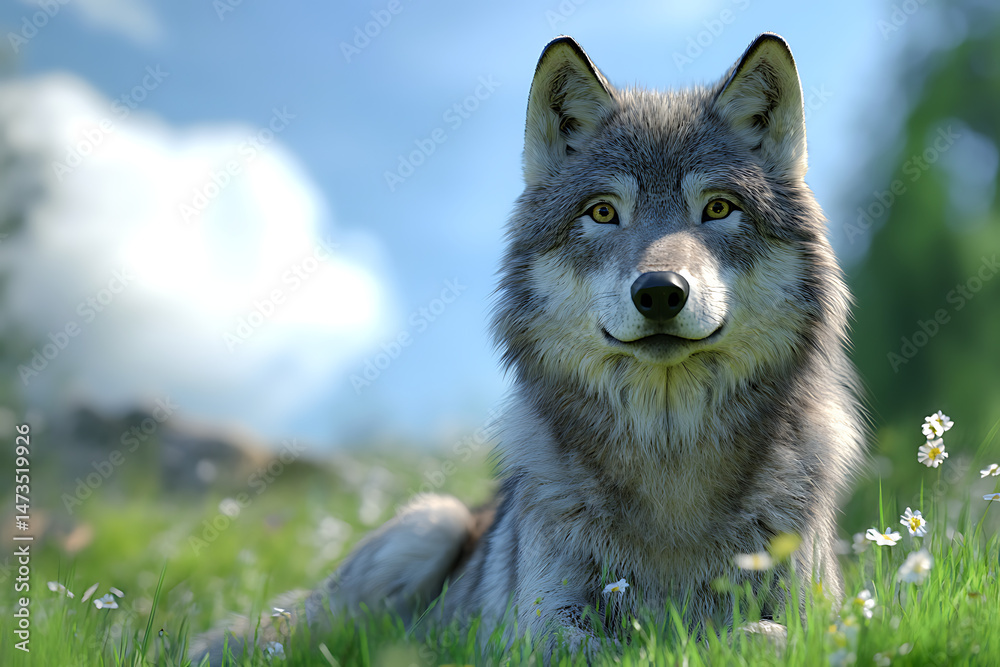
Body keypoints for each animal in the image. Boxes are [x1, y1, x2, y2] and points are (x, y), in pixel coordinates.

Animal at [191, 32, 864, 664]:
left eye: (719, 208)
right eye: (603, 213)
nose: (659, 292)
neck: (671, 467)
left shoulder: (822, 618)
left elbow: (758, 634)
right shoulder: (540, 623)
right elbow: (597, 647)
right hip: (427, 525)